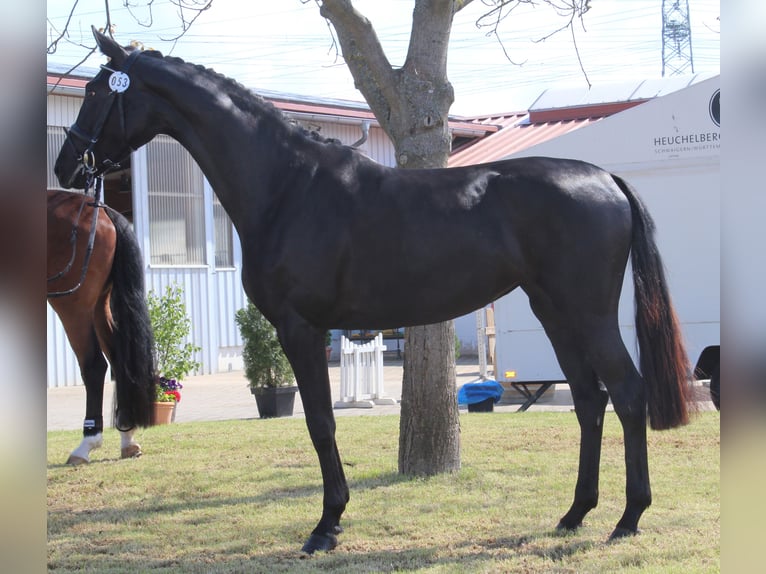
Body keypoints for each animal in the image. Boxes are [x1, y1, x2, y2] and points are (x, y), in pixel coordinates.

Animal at [47, 187, 156, 466]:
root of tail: (101, 210)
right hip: (98, 305)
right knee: (119, 360)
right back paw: (127, 438)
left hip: (73, 306)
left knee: (95, 365)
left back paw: (86, 444)